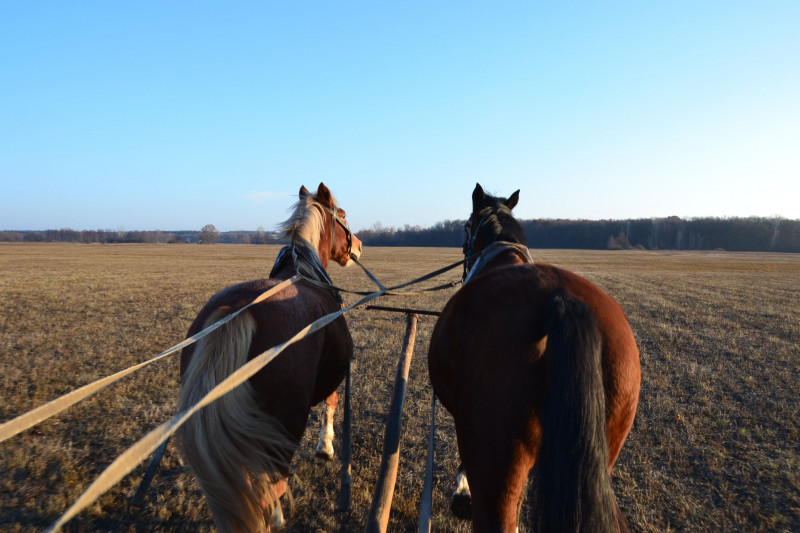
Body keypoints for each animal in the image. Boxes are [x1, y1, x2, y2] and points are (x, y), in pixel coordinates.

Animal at [177, 184, 362, 532]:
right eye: (343, 217)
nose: (359, 246)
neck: (304, 273)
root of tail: (239, 312)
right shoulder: (332, 374)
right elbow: (331, 404)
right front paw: (326, 446)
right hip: (286, 424)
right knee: (271, 483)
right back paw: (276, 517)